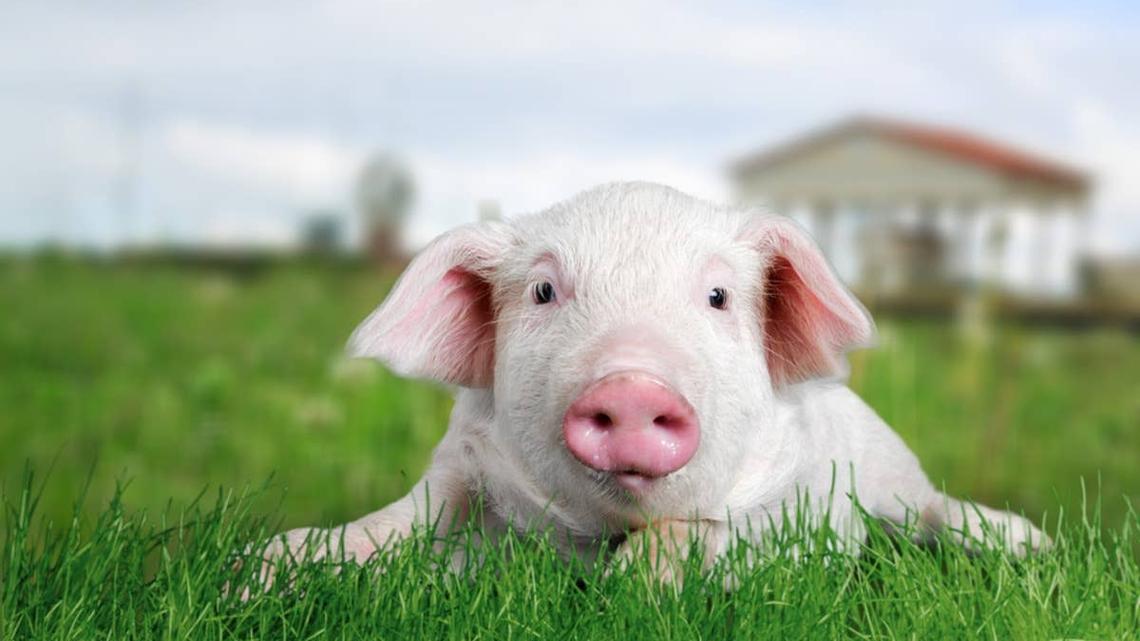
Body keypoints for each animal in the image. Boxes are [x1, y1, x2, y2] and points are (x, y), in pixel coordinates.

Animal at [266, 182, 1048, 576]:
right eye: (544, 290)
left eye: (718, 297)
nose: (632, 385)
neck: (598, 534)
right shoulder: (460, 467)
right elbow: (398, 521)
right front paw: (260, 571)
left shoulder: (781, 507)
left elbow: (700, 530)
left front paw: (631, 593)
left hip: (892, 470)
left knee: (931, 509)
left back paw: (1031, 543)